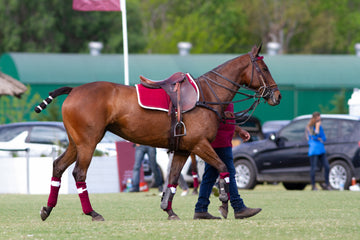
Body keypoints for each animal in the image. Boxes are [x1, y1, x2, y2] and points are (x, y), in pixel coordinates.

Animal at [35, 44, 282, 221]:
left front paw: (169, 210)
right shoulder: (200, 144)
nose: (277, 96)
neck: (207, 95)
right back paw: (92, 213)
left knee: (58, 166)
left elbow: (172, 180)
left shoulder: (183, 150)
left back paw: (47, 209)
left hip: (75, 143)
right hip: (88, 142)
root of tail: (73, 89)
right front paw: (222, 202)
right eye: (265, 69)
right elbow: (223, 167)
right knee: (79, 174)